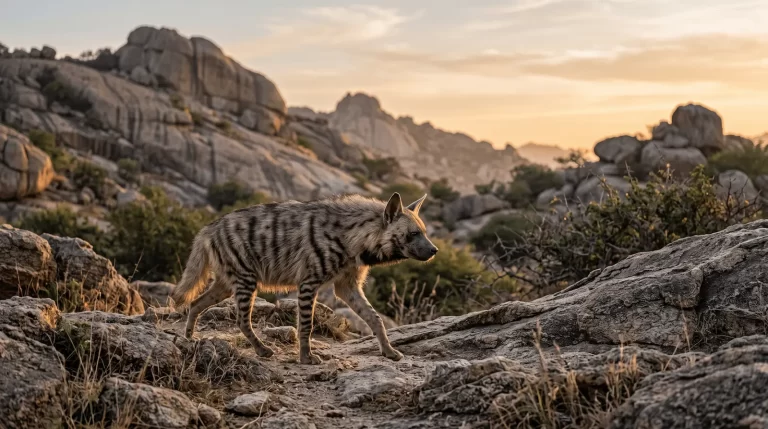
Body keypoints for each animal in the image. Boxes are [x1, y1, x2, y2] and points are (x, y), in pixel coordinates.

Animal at [171, 192, 438, 364]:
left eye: (425, 232)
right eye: (413, 234)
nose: (435, 250)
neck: (354, 240)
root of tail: (209, 228)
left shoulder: (347, 284)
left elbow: (374, 318)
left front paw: (390, 352)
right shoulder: (309, 281)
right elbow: (306, 324)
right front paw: (307, 358)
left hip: (226, 282)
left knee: (196, 303)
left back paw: (188, 338)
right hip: (246, 278)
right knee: (241, 319)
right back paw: (263, 350)